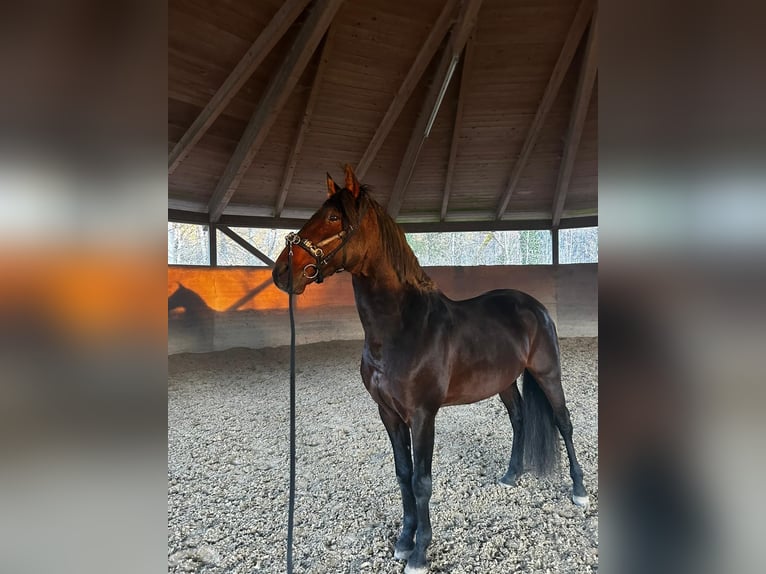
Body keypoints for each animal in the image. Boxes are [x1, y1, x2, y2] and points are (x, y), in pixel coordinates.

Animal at [272, 165, 588, 574]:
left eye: (332, 218)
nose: (282, 272)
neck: (404, 328)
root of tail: (535, 306)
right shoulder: (389, 414)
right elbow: (403, 475)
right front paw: (403, 541)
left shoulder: (423, 415)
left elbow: (422, 481)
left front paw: (420, 553)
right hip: (503, 382)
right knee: (519, 418)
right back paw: (511, 475)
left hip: (548, 373)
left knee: (563, 422)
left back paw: (579, 491)